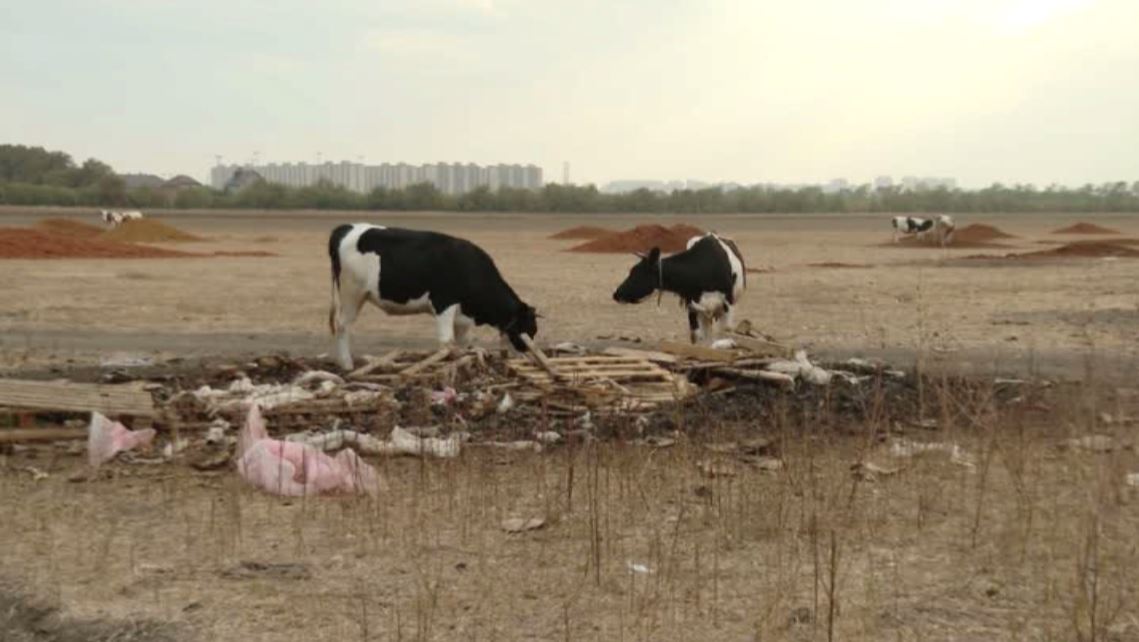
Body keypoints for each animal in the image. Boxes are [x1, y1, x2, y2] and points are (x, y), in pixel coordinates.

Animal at [325, 223, 537, 368]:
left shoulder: (462, 317)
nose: (528, 358)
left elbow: (464, 342)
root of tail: (347, 228)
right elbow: (447, 342)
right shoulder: (444, 304)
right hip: (352, 293)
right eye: (526, 330)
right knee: (342, 326)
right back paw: (347, 364)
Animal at [615, 234, 747, 346]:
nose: (616, 294)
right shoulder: (692, 305)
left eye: (636, 273)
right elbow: (697, 336)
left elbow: (725, 331)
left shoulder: (727, 304)